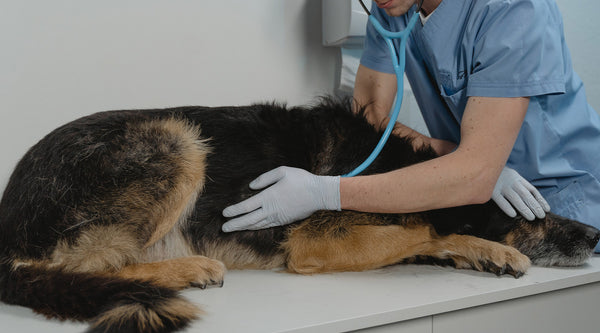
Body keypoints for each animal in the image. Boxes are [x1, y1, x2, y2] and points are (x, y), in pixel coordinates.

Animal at [0, 97, 596, 330]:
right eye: (532, 212)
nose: (594, 236)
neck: (392, 168)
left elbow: (427, 233)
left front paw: (482, 252)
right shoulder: (316, 242)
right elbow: (424, 226)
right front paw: (488, 245)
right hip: (177, 138)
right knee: (82, 265)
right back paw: (186, 269)